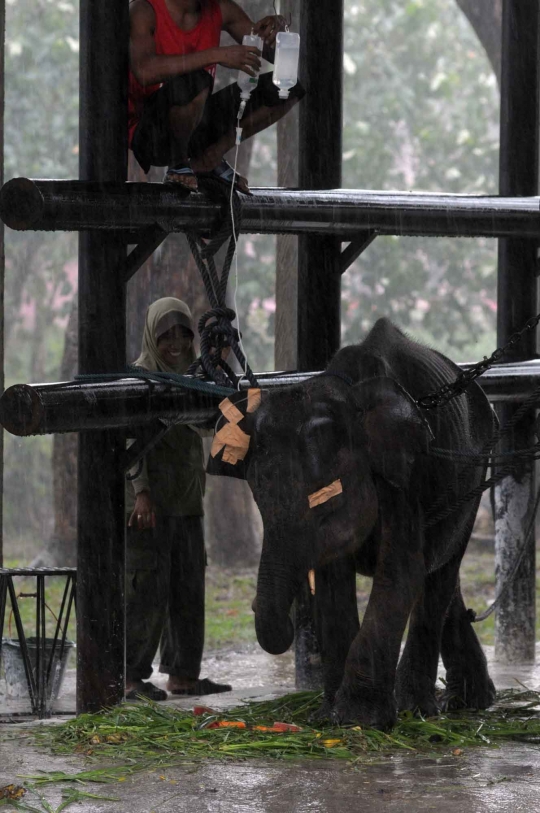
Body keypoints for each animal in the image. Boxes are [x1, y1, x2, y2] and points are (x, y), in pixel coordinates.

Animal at [209, 314, 496, 728]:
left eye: (324, 506)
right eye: (258, 501)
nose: (254, 606)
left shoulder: (403, 474)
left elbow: (400, 571)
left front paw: (360, 719)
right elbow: (334, 581)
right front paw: (328, 715)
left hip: (475, 475)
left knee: (439, 573)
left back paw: (418, 708)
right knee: (441, 572)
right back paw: (468, 701)